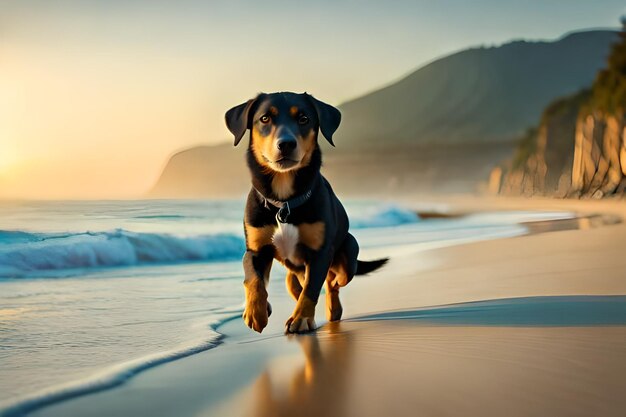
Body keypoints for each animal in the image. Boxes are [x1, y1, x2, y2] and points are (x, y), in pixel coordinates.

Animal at [224, 92, 386, 334]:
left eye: (303, 119)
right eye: (264, 118)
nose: (286, 144)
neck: (284, 203)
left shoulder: (320, 253)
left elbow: (312, 288)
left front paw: (300, 319)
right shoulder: (255, 249)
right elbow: (253, 279)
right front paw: (256, 311)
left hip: (349, 250)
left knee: (334, 280)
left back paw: (332, 306)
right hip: (292, 274)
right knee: (295, 284)